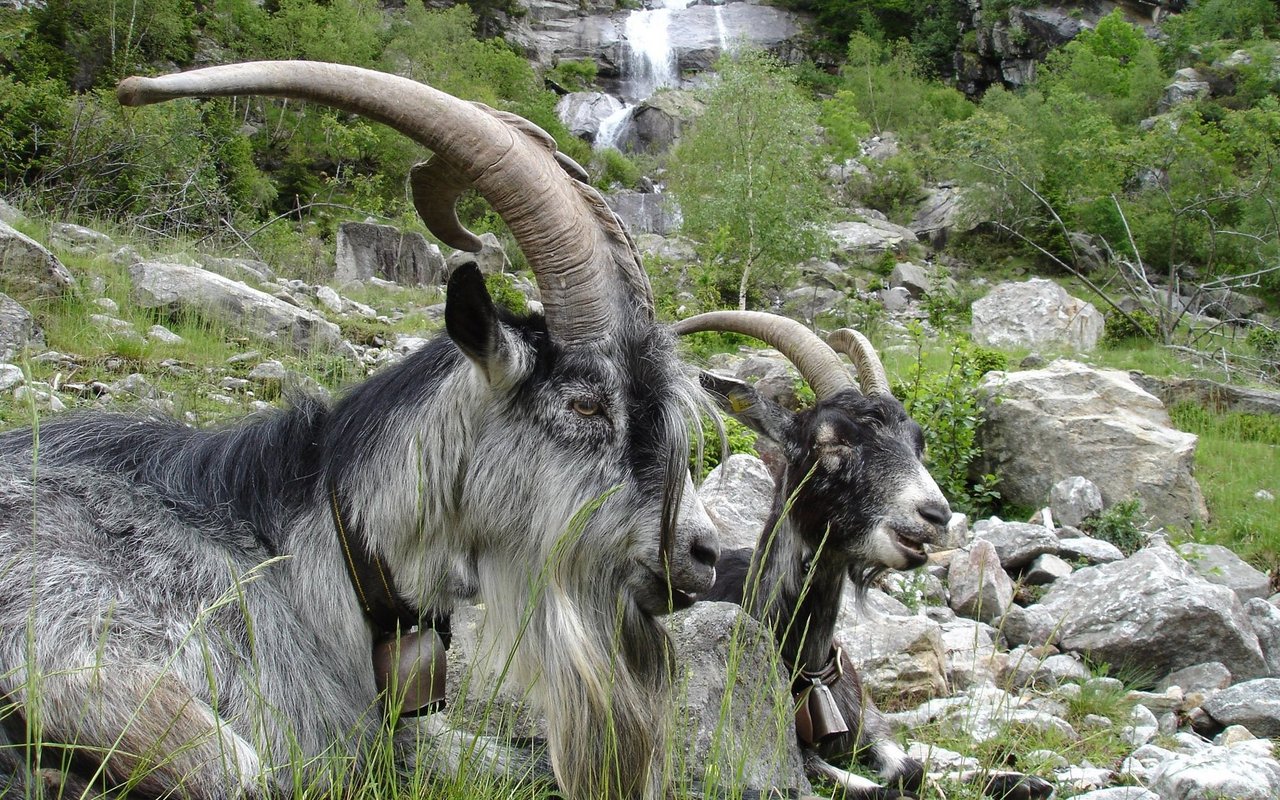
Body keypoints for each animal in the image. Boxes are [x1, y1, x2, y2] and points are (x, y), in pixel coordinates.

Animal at [680, 311, 1049, 798]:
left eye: (917, 443)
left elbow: (910, 765)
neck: (810, 670)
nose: (935, 515)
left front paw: (1020, 778)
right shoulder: (794, 756)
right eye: (830, 440)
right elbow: (883, 785)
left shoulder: (869, 721)